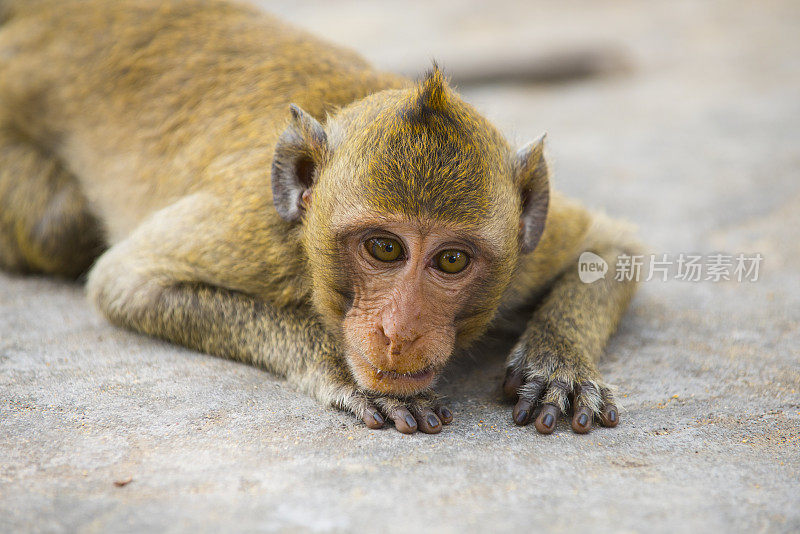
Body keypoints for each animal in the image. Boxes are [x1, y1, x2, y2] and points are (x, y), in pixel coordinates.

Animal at [0, 0, 636, 436]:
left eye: (452, 259)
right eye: (384, 248)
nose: (400, 333)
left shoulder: (529, 248)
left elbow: (615, 246)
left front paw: (559, 364)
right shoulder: (257, 228)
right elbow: (126, 283)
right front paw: (339, 368)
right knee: (60, 226)